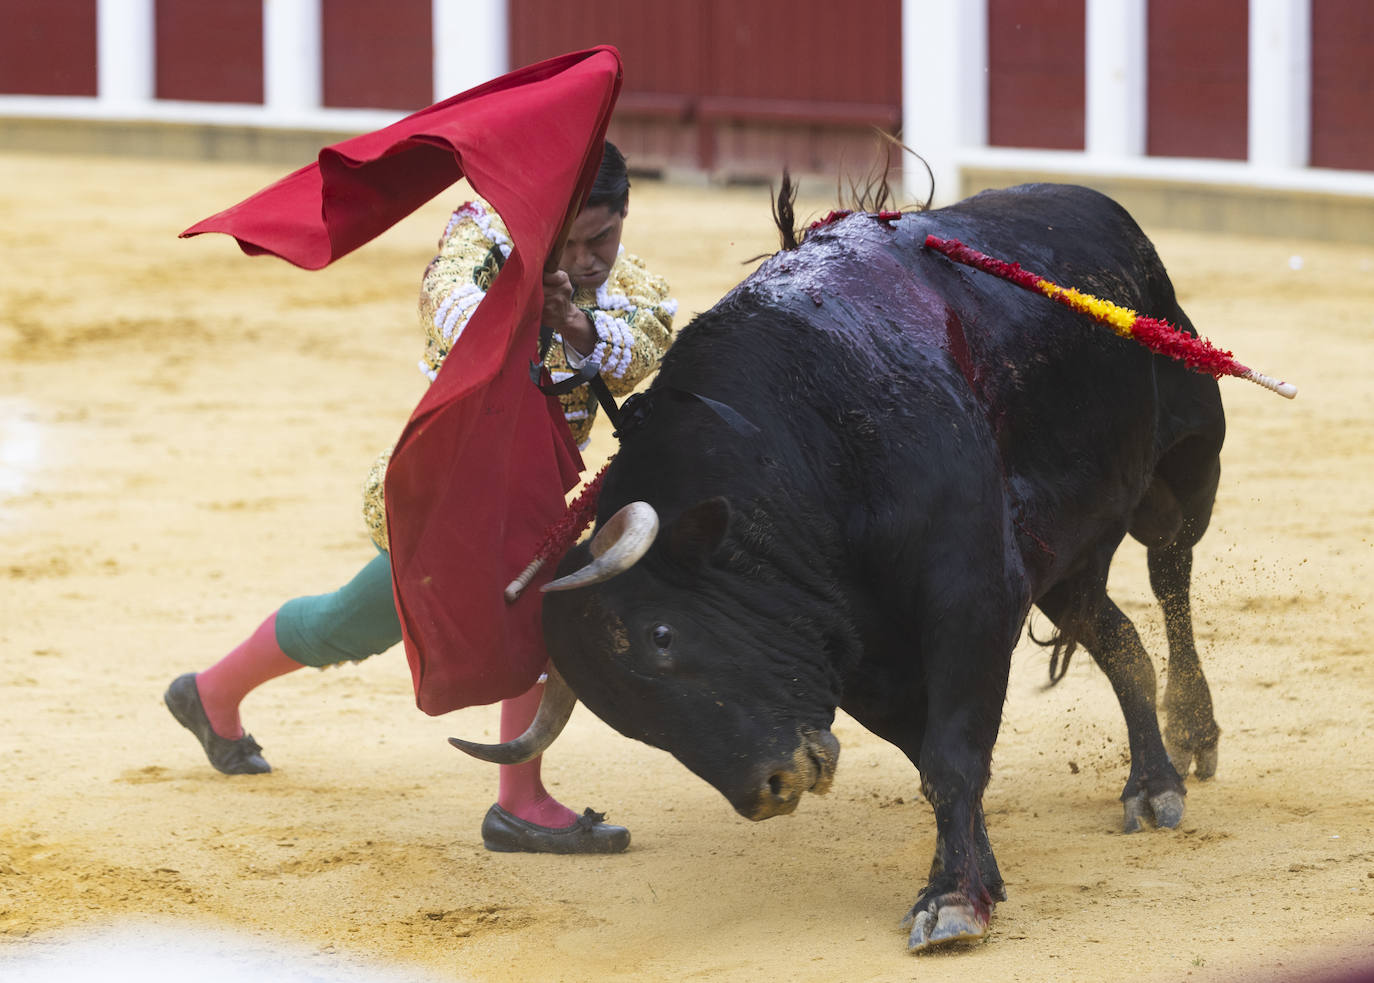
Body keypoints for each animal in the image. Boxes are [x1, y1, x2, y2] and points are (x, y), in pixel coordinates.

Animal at [450, 184, 1225, 951]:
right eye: (621, 714)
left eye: (661, 636)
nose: (770, 788)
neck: (806, 438)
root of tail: (1104, 211)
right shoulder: (851, 650)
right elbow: (929, 756)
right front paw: (982, 879)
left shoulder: (970, 599)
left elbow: (951, 756)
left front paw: (952, 902)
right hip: (1065, 562)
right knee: (1120, 639)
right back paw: (1152, 782)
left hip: (1186, 465)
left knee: (1170, 571)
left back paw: (1192, 733)